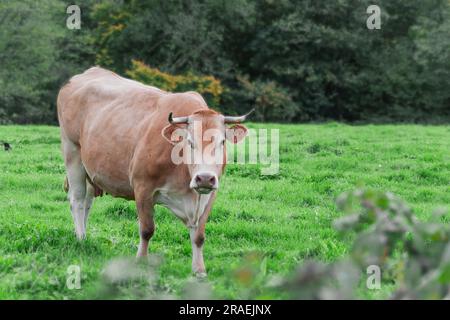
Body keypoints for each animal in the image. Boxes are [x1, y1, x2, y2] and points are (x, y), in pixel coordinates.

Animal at [56, 66, 251, 276]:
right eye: (190, 142)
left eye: (222, 142)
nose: (205, 178)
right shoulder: (142, 187)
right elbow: (147, 229)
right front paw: (141, 261)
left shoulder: (208, 195)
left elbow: (199, 236)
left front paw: (199, 270)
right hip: (72, 151)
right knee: (77, 200)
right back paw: (81, 238)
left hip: (90, 168)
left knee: (87, 202)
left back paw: (84, 235)